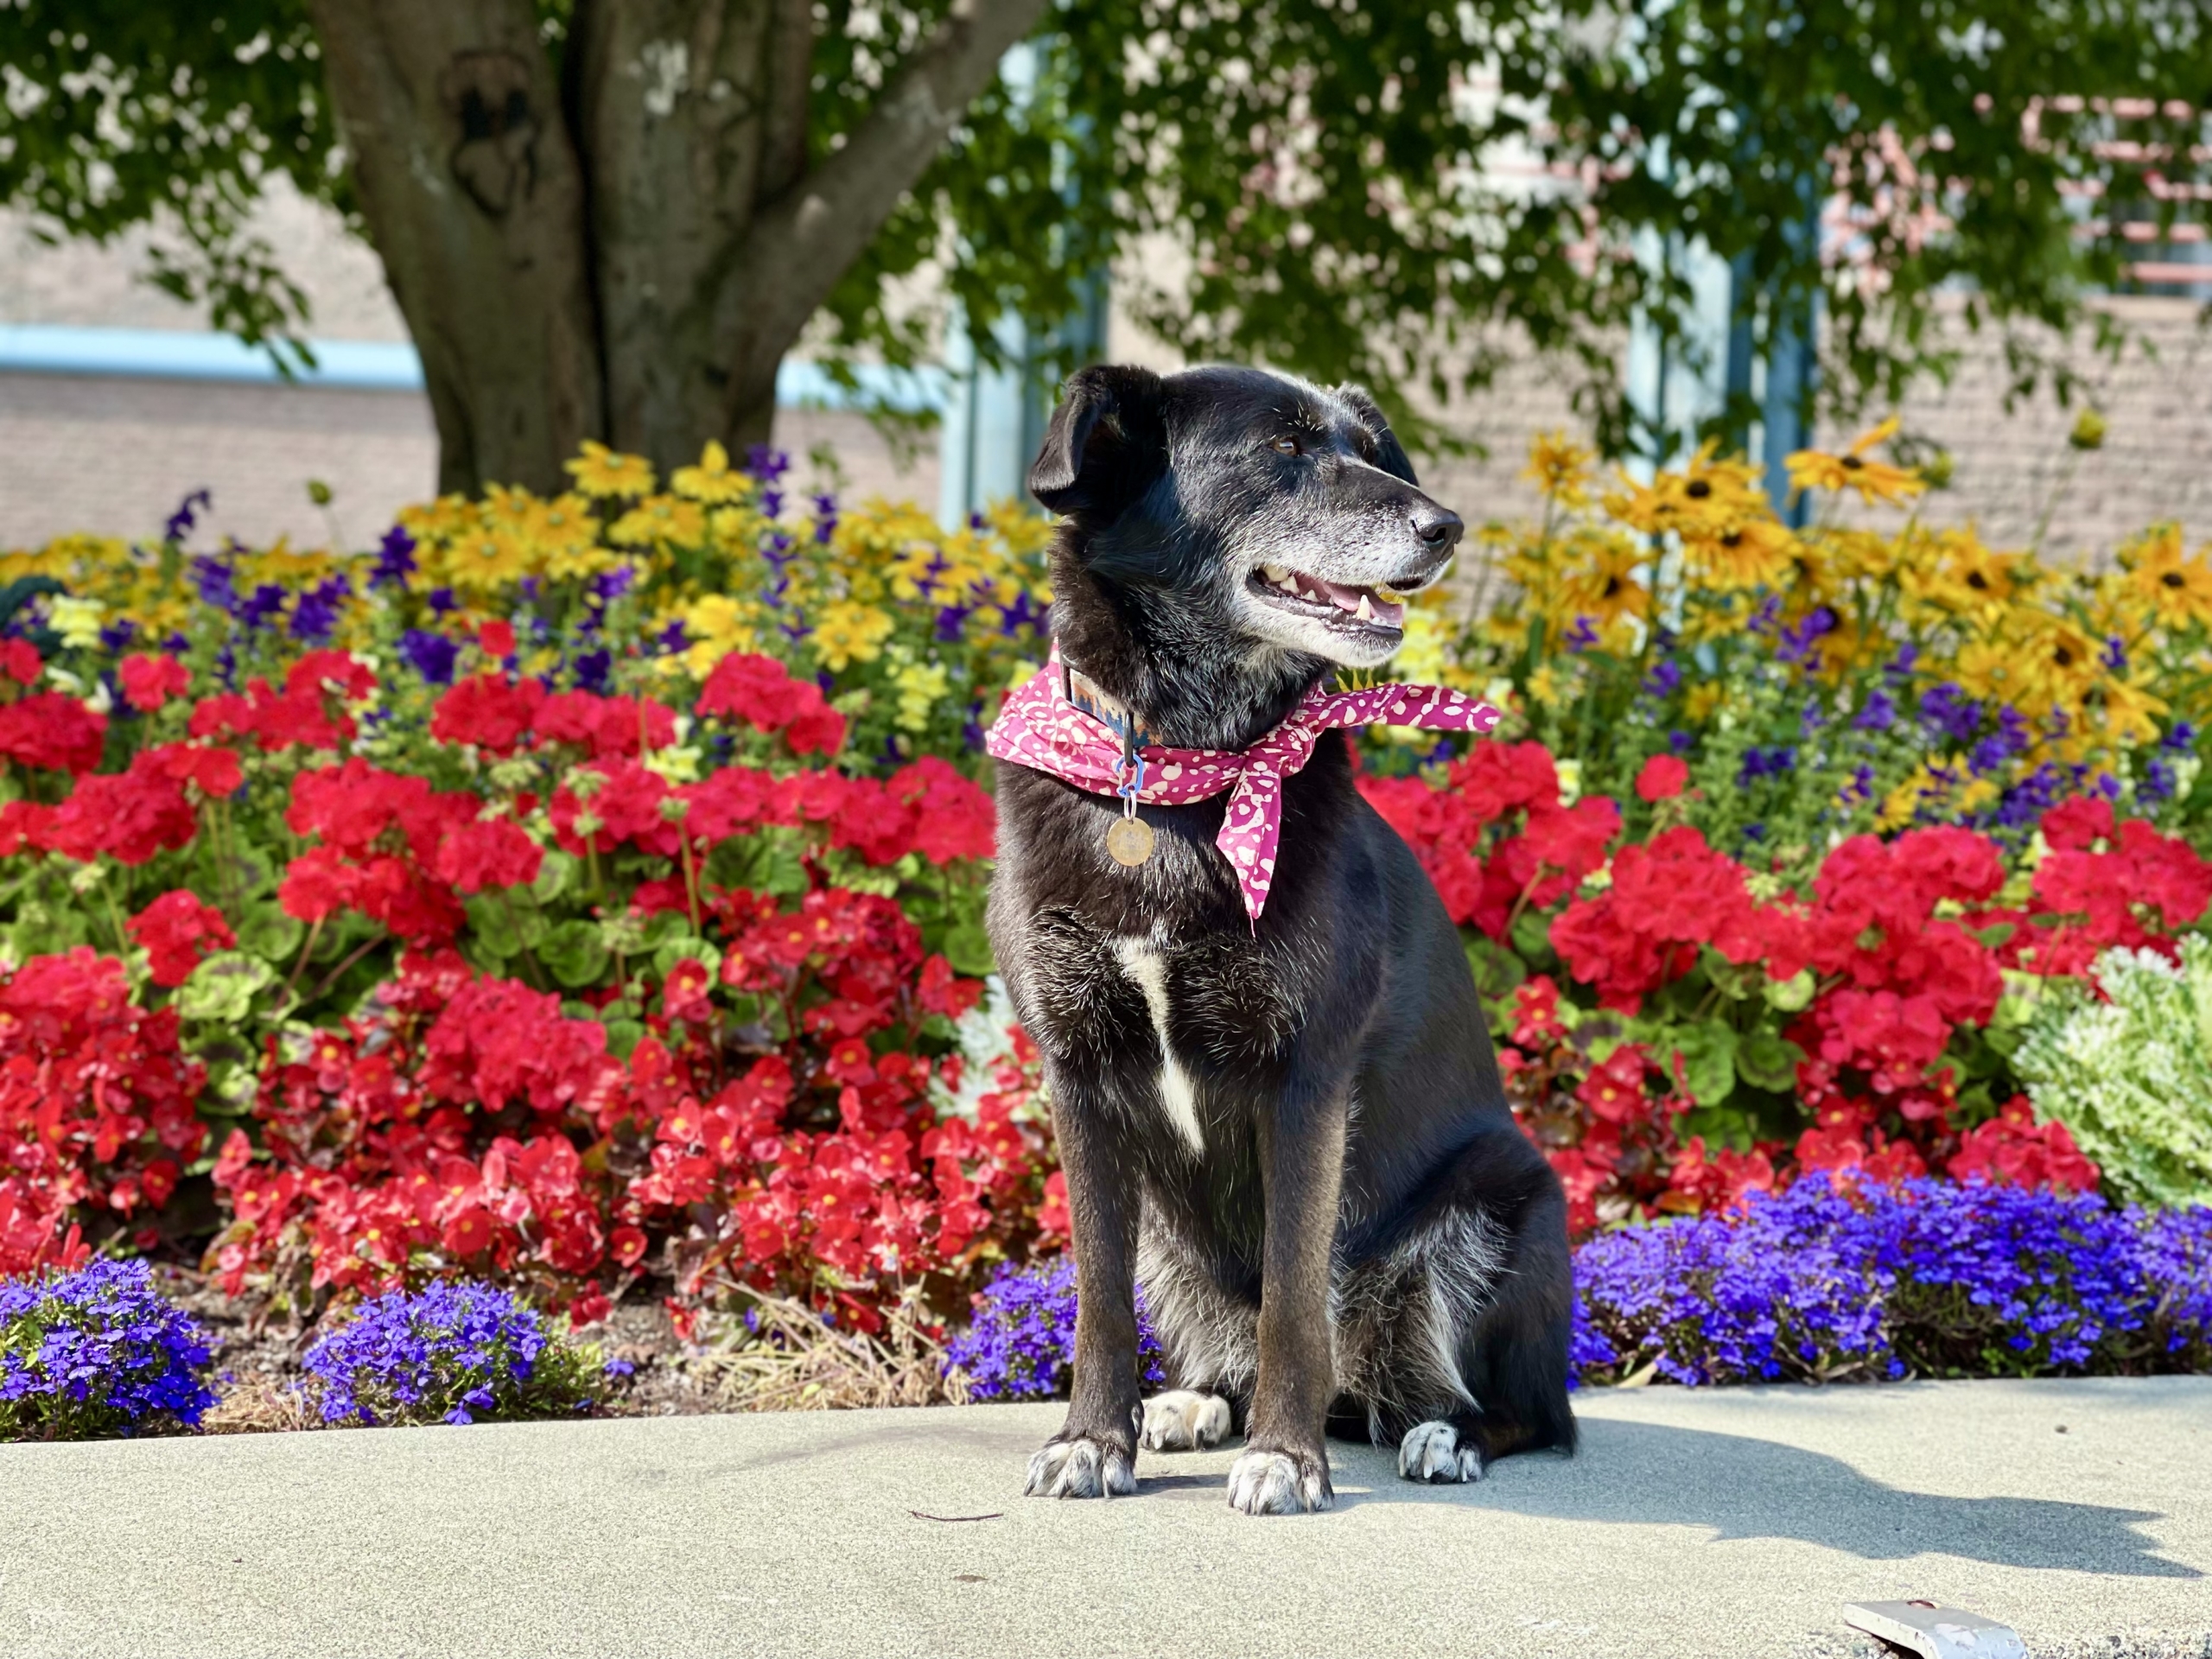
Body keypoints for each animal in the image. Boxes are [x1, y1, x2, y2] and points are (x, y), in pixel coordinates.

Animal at [986, 362, 1574, 1522]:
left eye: (1368, 451)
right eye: (1286, 451)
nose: (1445, 525)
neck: (1181, 777)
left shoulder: (1305, 1076)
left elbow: (1295, 1296)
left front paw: (1285, 1459)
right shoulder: (1076, 1073)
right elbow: (1097, 1299)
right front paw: (1092, 1440)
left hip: (1504, 1212)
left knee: (1525, 1412)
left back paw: (1443, 1433)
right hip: (1174, 1240)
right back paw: (1194, 1404)